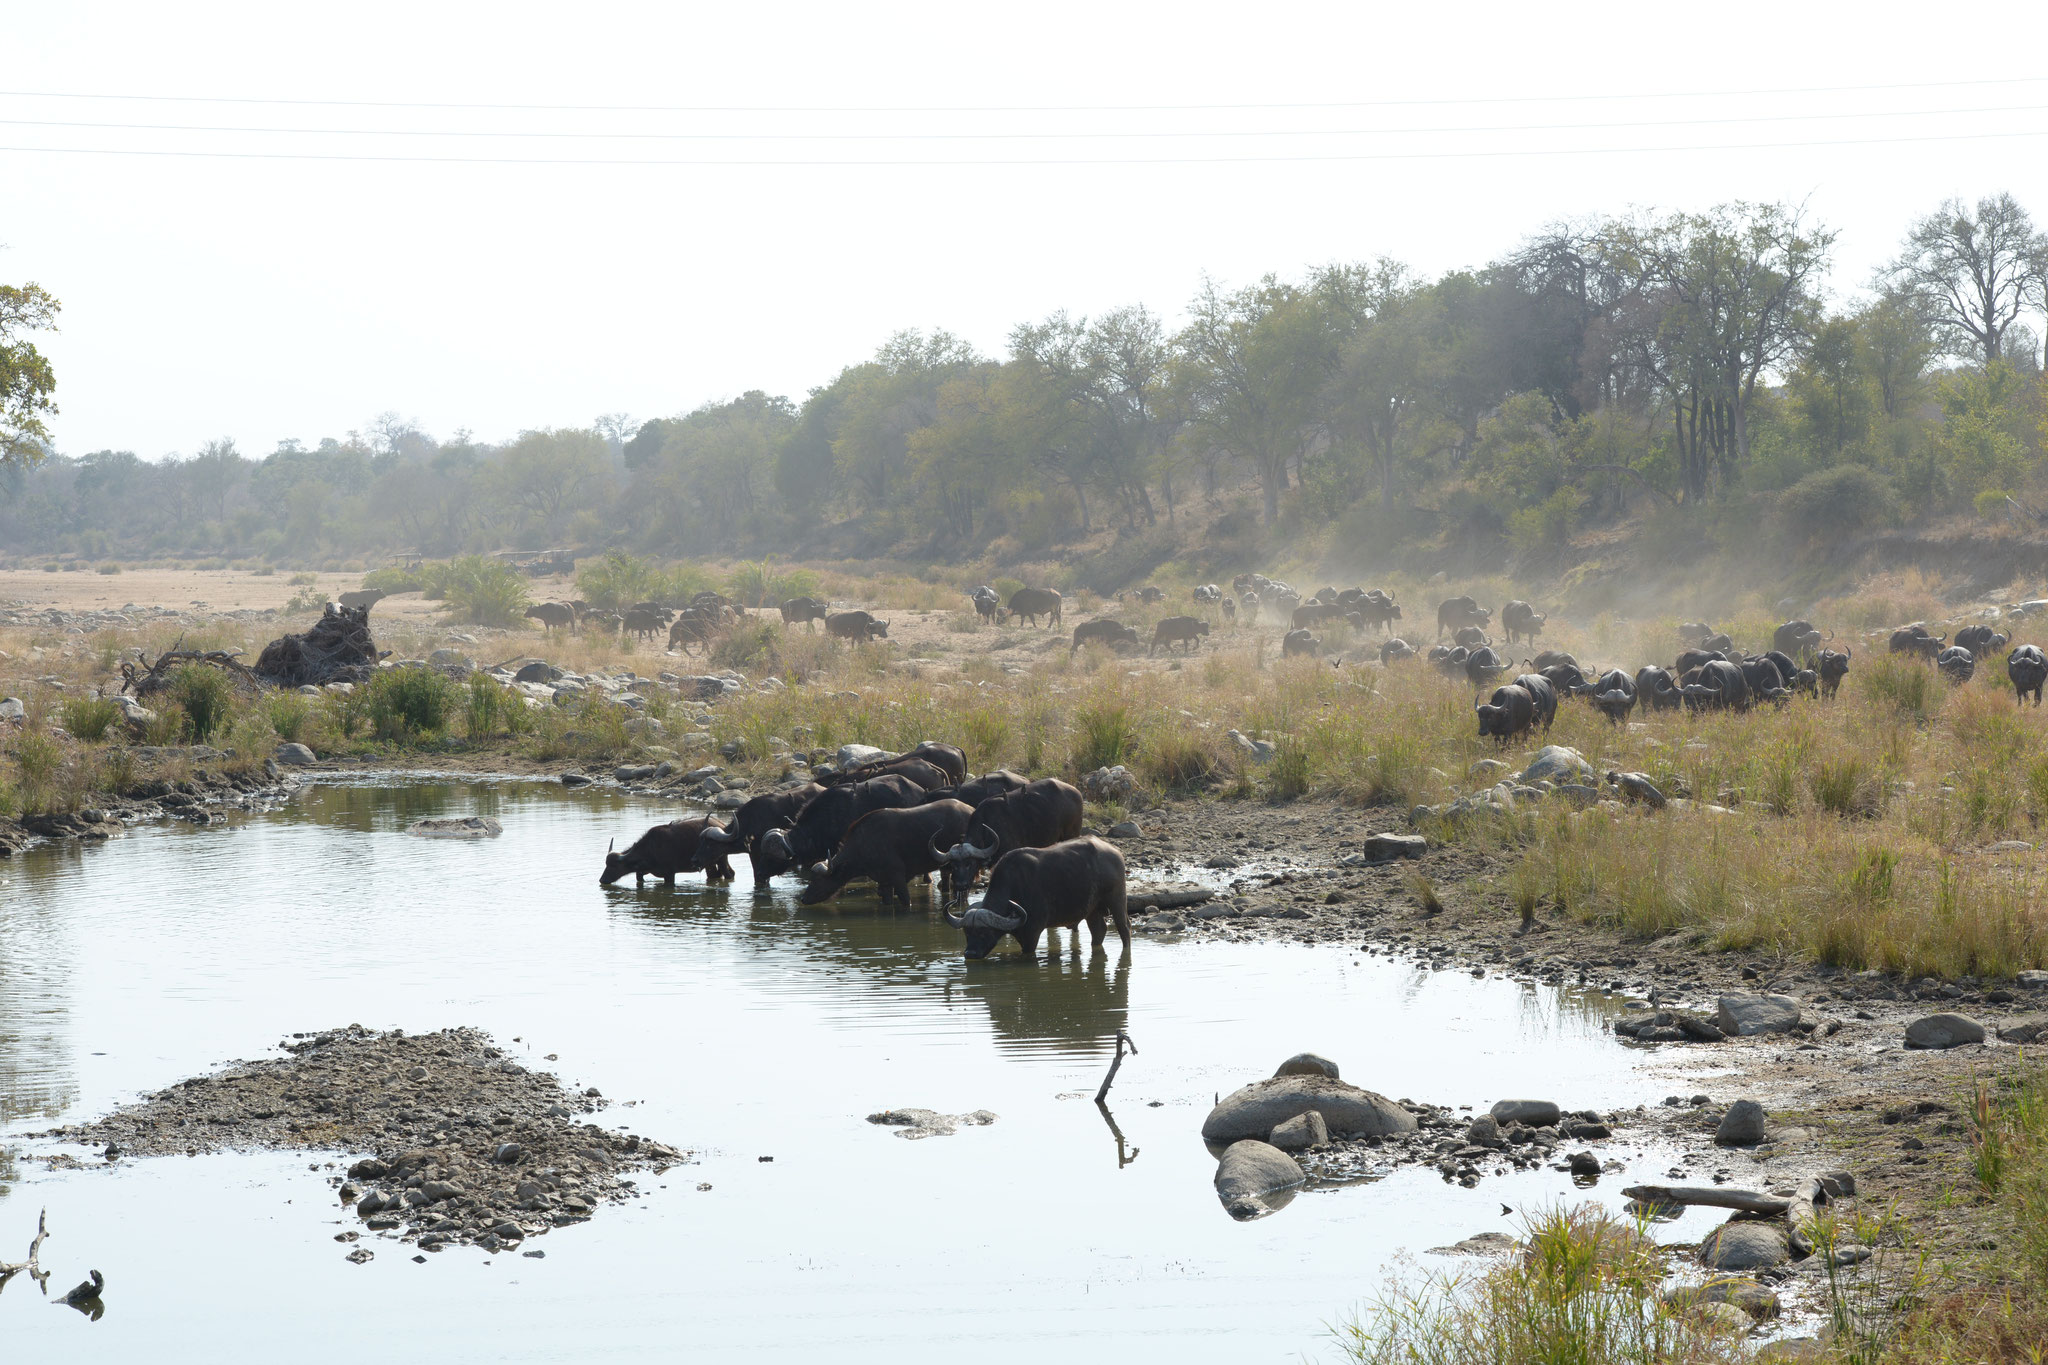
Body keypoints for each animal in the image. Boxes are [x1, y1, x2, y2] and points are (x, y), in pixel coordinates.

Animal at [598, 818, 737, 892]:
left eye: (614, 866)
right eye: (605, 864)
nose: (602, 880)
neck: (650, 850)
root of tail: (722, 826)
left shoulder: (670, 874)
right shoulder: (641, 872)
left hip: (722, 859)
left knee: (730, 874)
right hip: (710, 863)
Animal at [794, 802, 970, 908]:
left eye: (819, 879)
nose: (803, 899)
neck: (863, 845)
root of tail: (970, 810)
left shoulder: (898, 878)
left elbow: (906, 902)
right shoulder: (885, 883)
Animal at [946, 834, 1138, 961]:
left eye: (983, 932)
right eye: (967, 932)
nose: (970, 954)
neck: (1015, 887)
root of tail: (1115, 852)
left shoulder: (1032, 933)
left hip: (1117, 898)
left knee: (1124, 927)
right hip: (1092, 909)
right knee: (1099, 930)